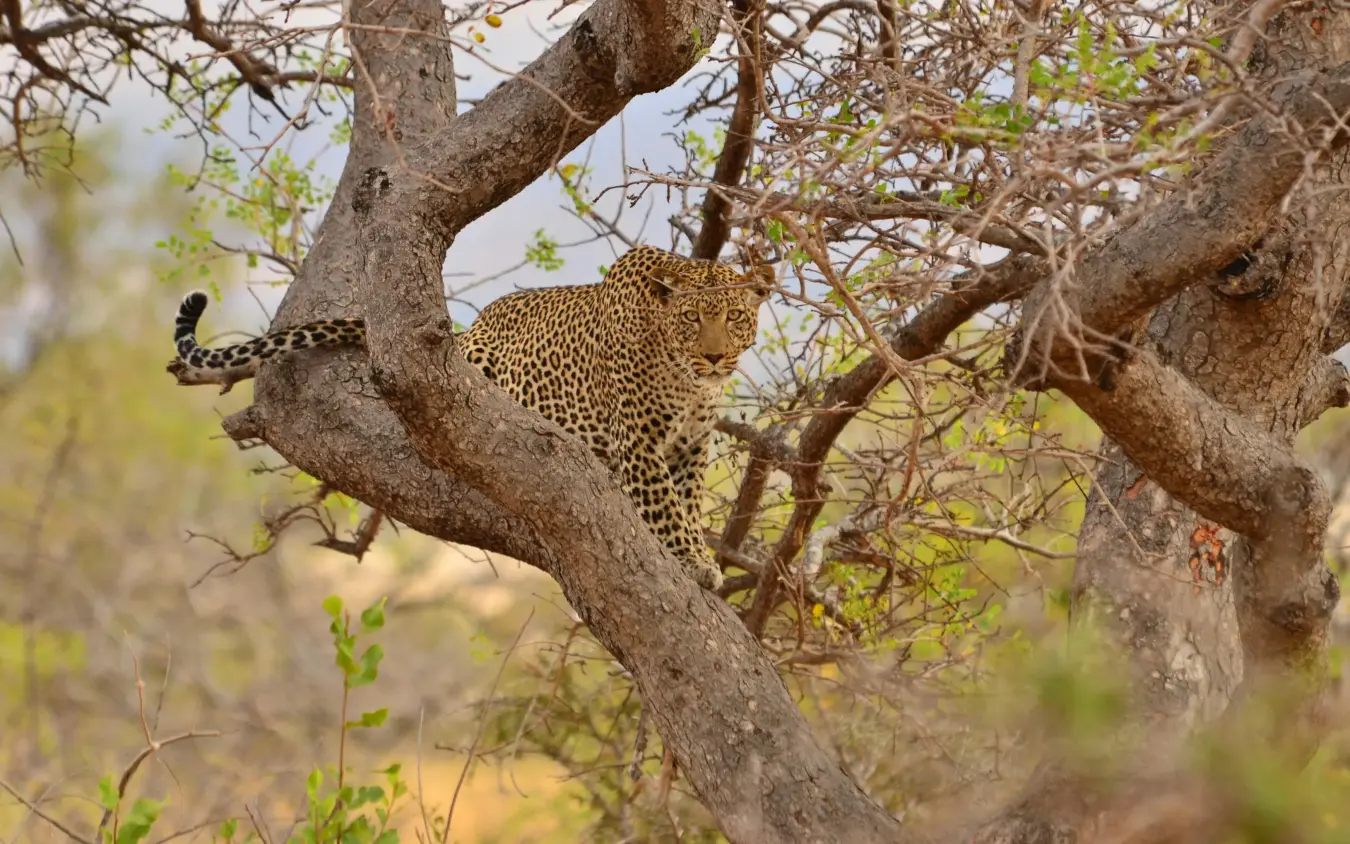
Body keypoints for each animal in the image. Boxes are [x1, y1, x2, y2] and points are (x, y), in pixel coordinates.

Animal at [168, 244, 773, 591]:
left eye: (735, 318)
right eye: (693, 320)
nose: (715, 357)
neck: (686, 377)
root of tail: (468, 331)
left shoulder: (690, 445)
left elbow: (687, 503)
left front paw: (700, 553)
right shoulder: (641, 444)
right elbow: (669, 509)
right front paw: (694, 560)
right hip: (478, 370)